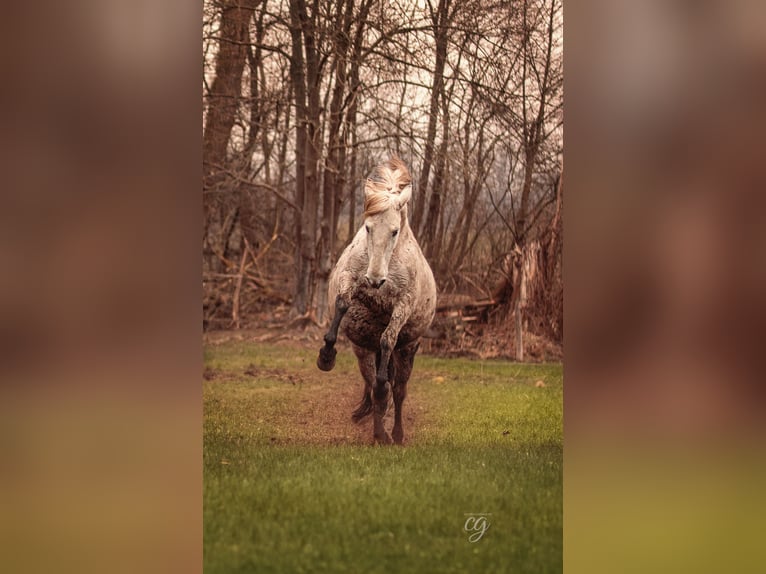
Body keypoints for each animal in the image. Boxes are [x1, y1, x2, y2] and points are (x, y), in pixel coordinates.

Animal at [318, 158, 438, 446]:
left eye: (394, 231)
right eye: (368, 227)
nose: (374, 279)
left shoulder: (403, 304)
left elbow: (387, 340)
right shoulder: (350, 279)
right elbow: (341, 304)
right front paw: (326, 356)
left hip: (408, 350)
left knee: (398, 391)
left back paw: (395, 433)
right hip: (363, 349)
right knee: (371, 384)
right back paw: (378, 428)